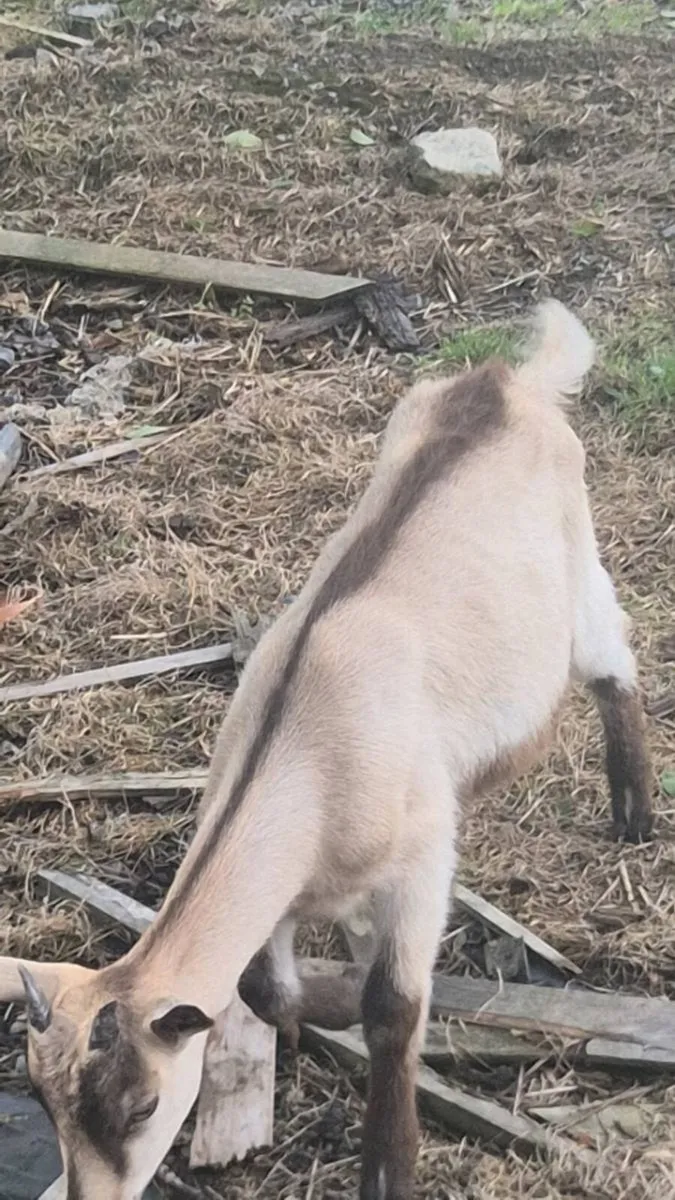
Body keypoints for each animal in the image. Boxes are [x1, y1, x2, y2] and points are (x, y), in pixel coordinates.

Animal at [0, 300, 653, 1200]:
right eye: (42, 1097)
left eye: (141, 1107)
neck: (306, 752)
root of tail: (506, 382)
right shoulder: (283, 882)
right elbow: (264, 986)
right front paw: (324, 1002)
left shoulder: (422, 854)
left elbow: (392, 1006)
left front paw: (386, 1163)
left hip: (575, 571)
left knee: (613, 663)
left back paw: (633, 812)